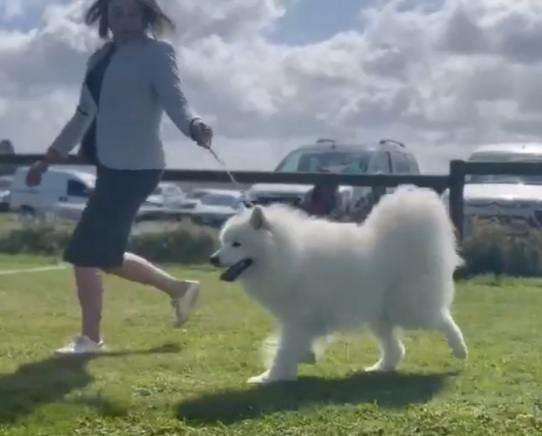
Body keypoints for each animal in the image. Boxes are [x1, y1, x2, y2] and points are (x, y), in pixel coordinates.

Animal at [210, 187, 470, 384]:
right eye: (224, 242)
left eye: (237, 244)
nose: (213, 258)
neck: (285, 253)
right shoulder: (302, 320)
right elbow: (295, 345)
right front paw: (305, 357)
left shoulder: (297, 318)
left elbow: (284, 350)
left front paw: (270, 377)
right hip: (378, 315)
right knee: (396, 349)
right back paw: (378, 368)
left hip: (408, 310)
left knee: (443, 320)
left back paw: (460, 349)